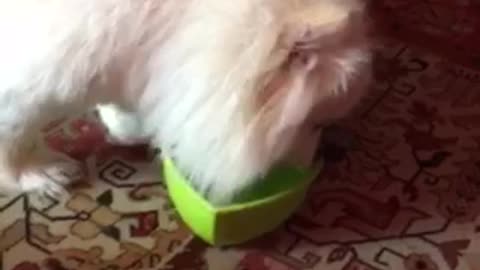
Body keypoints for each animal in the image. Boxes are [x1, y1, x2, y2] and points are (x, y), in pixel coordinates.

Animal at [0, 0, 372, 204]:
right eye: (316, 124)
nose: (308, 168)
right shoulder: (34, 76)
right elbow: (15, 136)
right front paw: (36, 174)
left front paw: (125, 127)